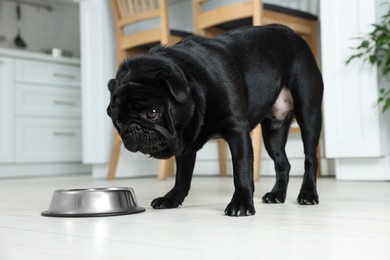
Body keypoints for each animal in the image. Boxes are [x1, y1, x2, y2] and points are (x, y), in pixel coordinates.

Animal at [106, 24, 322, 216]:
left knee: (310, 158)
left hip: (309, 113)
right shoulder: (185, 144)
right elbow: (182, 176)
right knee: (282, 163)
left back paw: (308, 194)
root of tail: (295, 35)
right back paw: (277, 194)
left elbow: (242, 170)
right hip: (272, 133)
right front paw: (172, 198)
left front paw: (241, 203)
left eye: (152, 112)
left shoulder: (237, 131)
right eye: (118, 121)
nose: (133, 128)